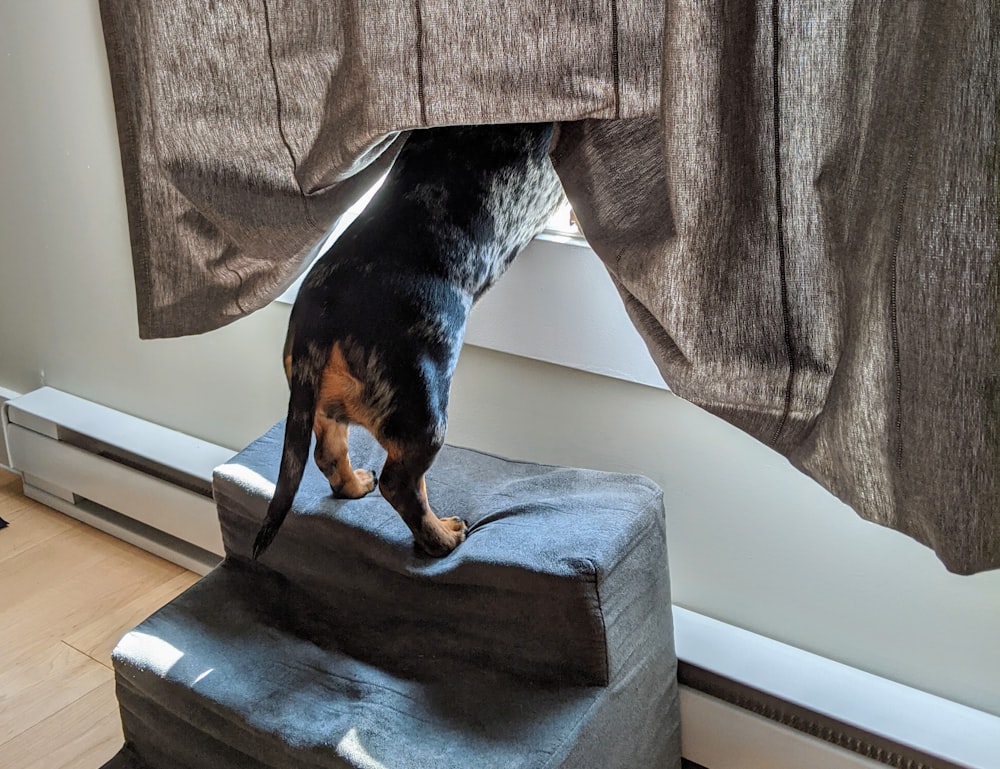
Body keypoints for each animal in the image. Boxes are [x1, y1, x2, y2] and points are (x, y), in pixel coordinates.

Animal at [252, 124, 564, 560]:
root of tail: (323, 315)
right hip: (424, 417)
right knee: (400, 485)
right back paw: (443, 537)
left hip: (322, 407)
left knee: (328, 454)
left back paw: (355, 485)